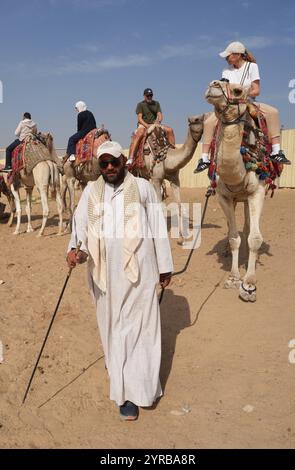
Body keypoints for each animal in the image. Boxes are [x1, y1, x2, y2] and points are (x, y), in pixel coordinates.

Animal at [206, 80, 270, 302]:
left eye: (238, 91)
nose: (213, 85)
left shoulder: (257, 192)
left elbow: (255, 239)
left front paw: (249, 284)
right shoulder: (224, 196)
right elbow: (234, 238)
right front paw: (234, 278)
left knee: (249, 225)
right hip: (235, 199)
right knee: (231, 226)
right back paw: (226, 249)